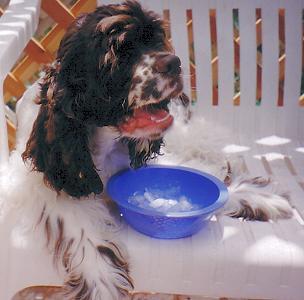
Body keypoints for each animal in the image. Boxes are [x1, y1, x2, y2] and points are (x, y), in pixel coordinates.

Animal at [0, 1, 294, 298]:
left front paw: (260, 197)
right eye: (119, 52)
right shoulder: (51, 188)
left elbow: (205, 177)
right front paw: (102, 282)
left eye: (154, 40)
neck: (103, 147)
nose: (175, 63)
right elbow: (82, 231)